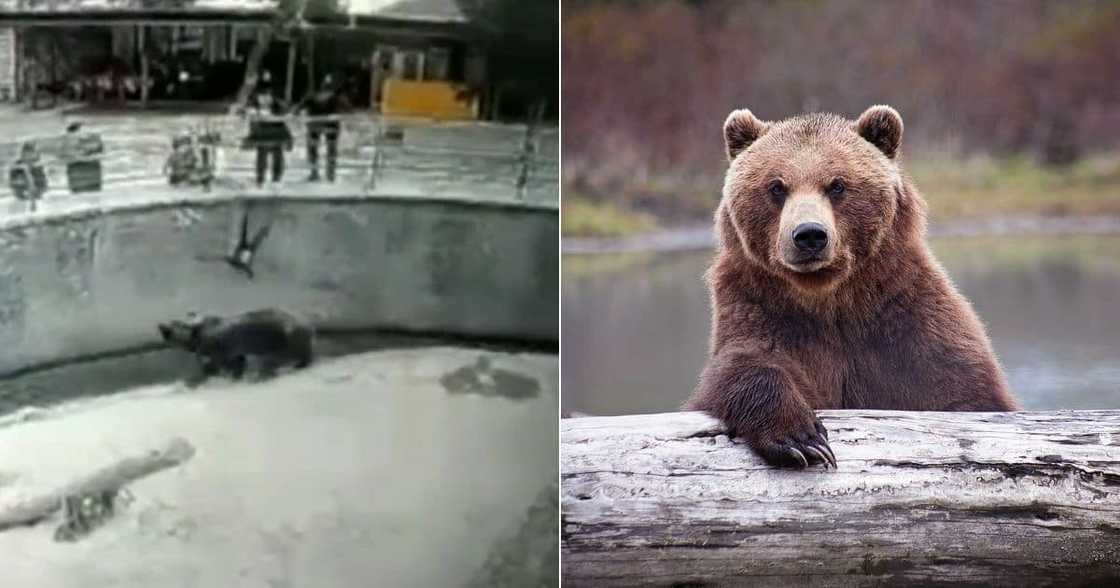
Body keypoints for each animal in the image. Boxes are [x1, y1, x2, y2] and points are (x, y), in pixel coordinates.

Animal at [159, 306, 315, 385]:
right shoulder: (234, 352)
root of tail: (306, 324)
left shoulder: (221, 351)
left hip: (284, 338)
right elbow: (237, 364)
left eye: (174, 323)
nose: (161, 325)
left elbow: (217, 366)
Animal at [685, 104, 1021, 468]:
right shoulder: (760, 310)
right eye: (776, 186)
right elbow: (744, 365)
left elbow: (964, 392)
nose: (809, 235)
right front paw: (801, 439)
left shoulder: (906, 323)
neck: (829, 298)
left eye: (837, 185)